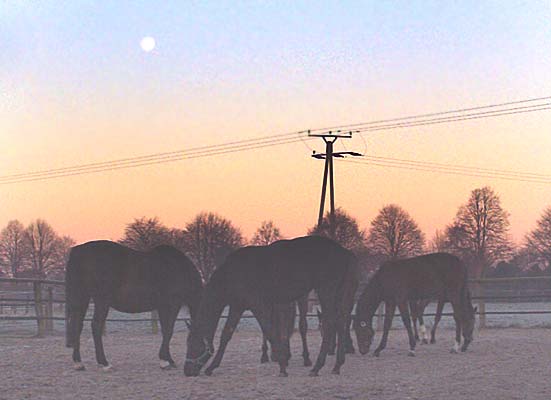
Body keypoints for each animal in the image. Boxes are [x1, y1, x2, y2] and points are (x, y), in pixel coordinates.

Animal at [65, 239, 203, 370]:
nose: (193, 366)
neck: (179, 269)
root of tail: (78, 251)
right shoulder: (173, 304)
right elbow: (169, 330)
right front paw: (165, 361)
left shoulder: (163, 307)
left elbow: (165, 330)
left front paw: (167, 359)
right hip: (101, 301)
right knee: (96, 326)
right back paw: (104, 363)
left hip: (82, 298)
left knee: (77, 326)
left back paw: (79, 363)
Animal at [183, 238, 360, 378]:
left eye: (192, 344)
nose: (187, 370)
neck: (232, 274)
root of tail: (346, 253)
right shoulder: (237, 306)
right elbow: (226, 334)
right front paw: (212, 367)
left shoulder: (257, 304)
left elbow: (268, 330)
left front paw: (281, 365)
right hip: (340, 293)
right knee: (340, 321)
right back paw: (337, 365)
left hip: (326, 290)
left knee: (330, 322)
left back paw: (317, 366)